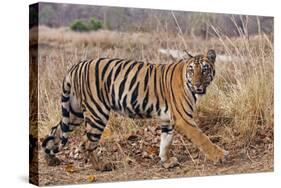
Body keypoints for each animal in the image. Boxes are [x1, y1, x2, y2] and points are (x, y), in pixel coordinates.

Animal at [42, 49, 229, 168]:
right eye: (192, 70)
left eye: (204, 70)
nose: (197, 84)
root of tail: (76, 66)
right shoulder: (183, 119)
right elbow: (202, 138)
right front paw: (220, 156)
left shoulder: (167, 119)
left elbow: (165, 141)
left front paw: (166, 161)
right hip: (97, 113)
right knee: (87, 142)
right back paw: (101, 166)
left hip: (74, 112)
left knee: (55, 130)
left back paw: (50, 159)